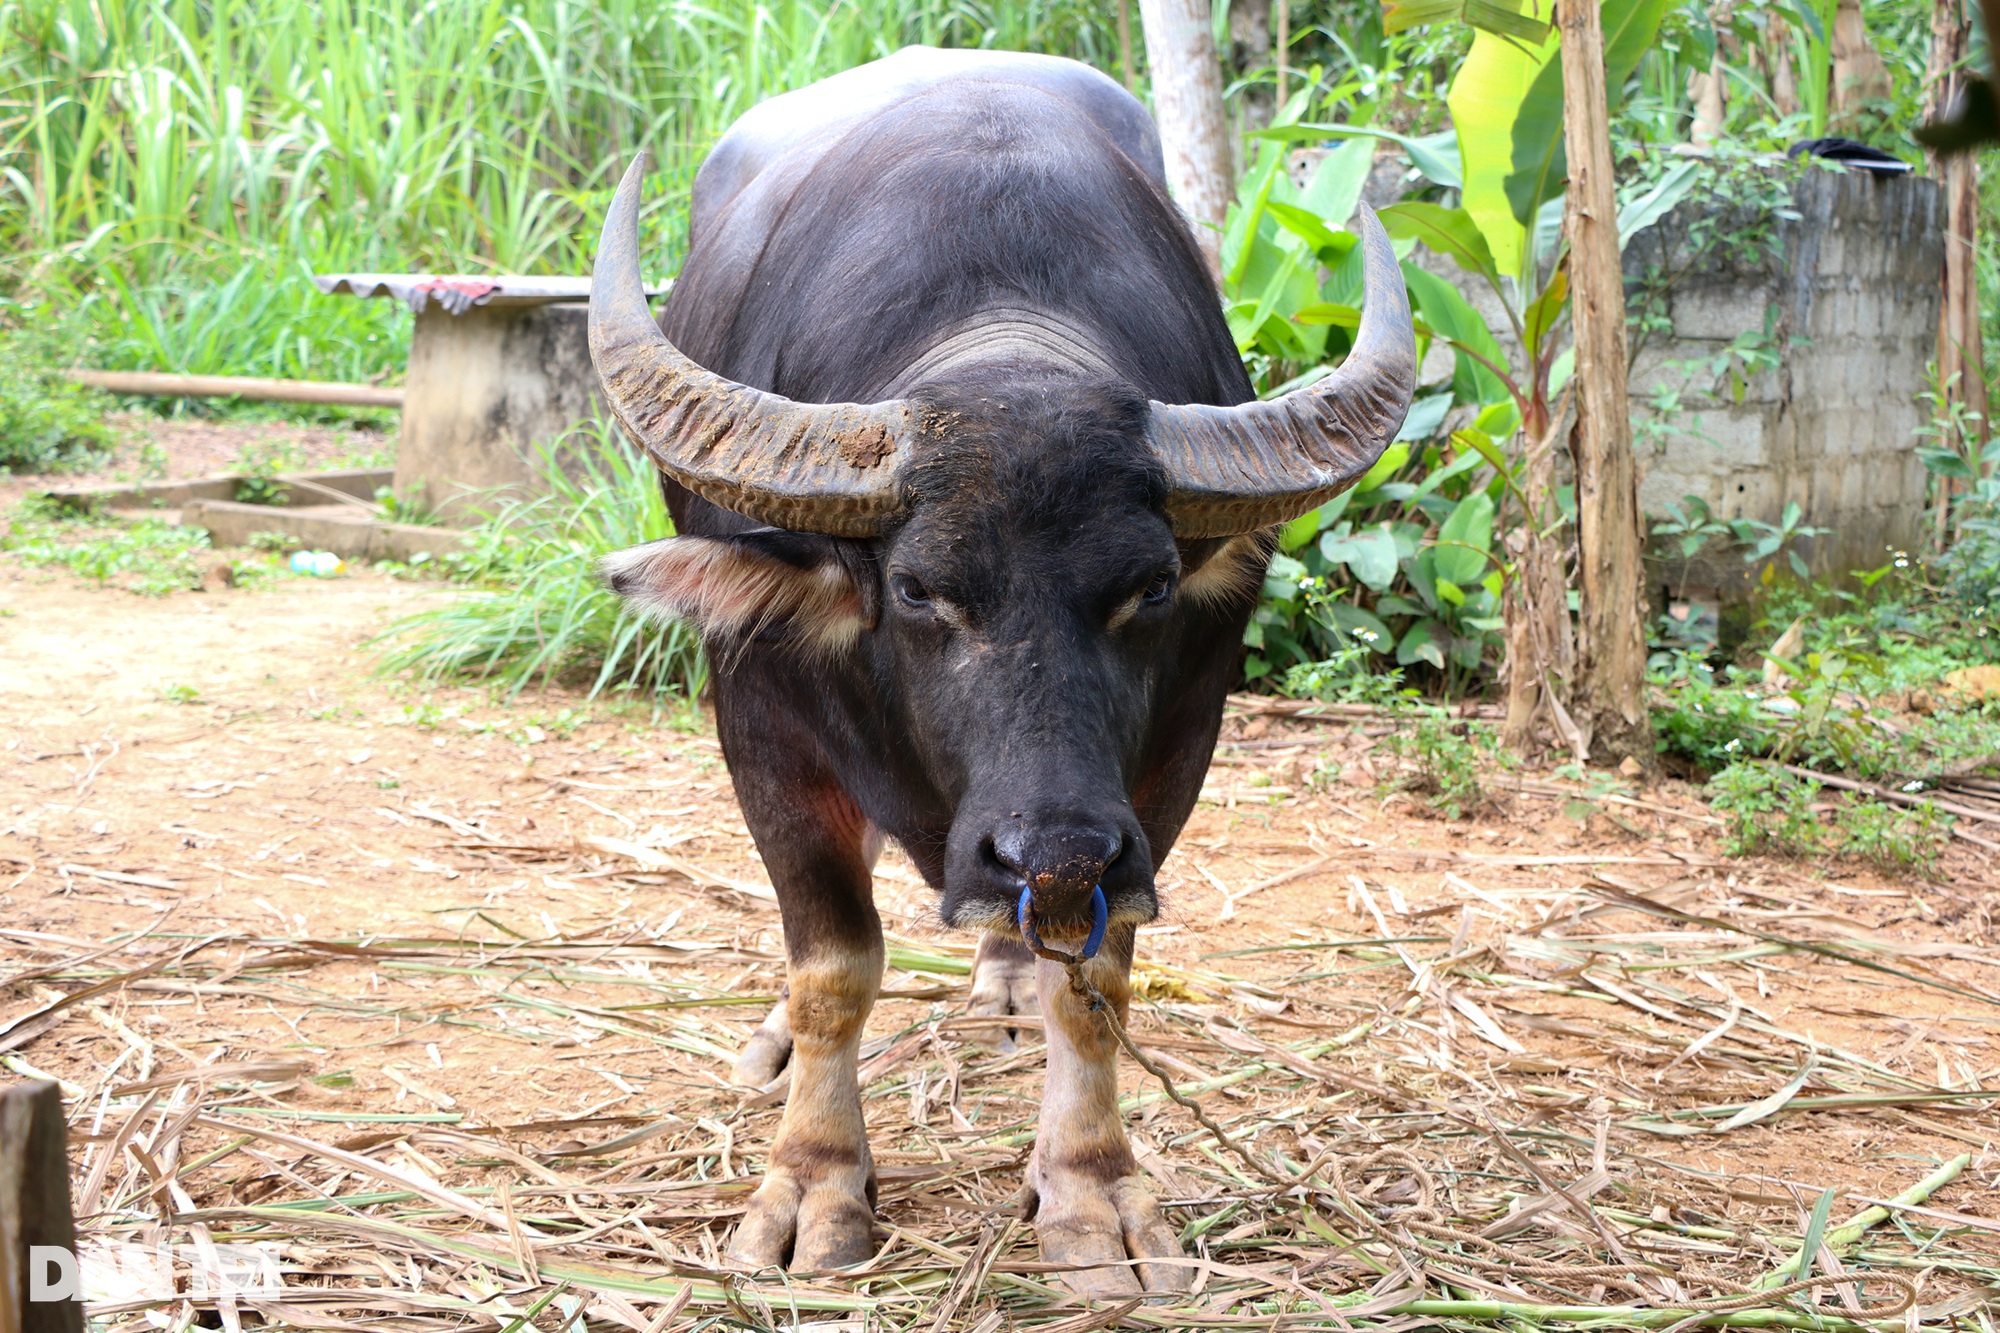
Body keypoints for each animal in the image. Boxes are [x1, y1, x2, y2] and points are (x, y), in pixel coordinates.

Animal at [584, 46, 1416, 1288]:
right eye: (918, 589)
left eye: (1149, 588)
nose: (1052, 850)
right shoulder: (761, 724)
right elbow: (833, 967)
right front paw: (813, 1182)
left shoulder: (1166, 765)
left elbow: (1100, 983)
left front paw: (1091, 1188)